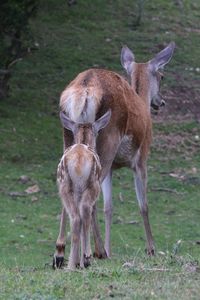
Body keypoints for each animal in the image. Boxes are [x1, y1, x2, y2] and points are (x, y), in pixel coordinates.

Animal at [54, 42, 174, 268]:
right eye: (162, 76)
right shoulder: (141, 158)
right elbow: (143, 205)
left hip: (69, 138)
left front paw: (109, 249)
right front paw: (151, 248)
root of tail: (84, 89)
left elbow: (109, 207)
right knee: (88, 201)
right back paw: (92, 253)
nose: (161, 102)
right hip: (108, 141)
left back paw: (59, 253)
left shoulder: (111, 169)